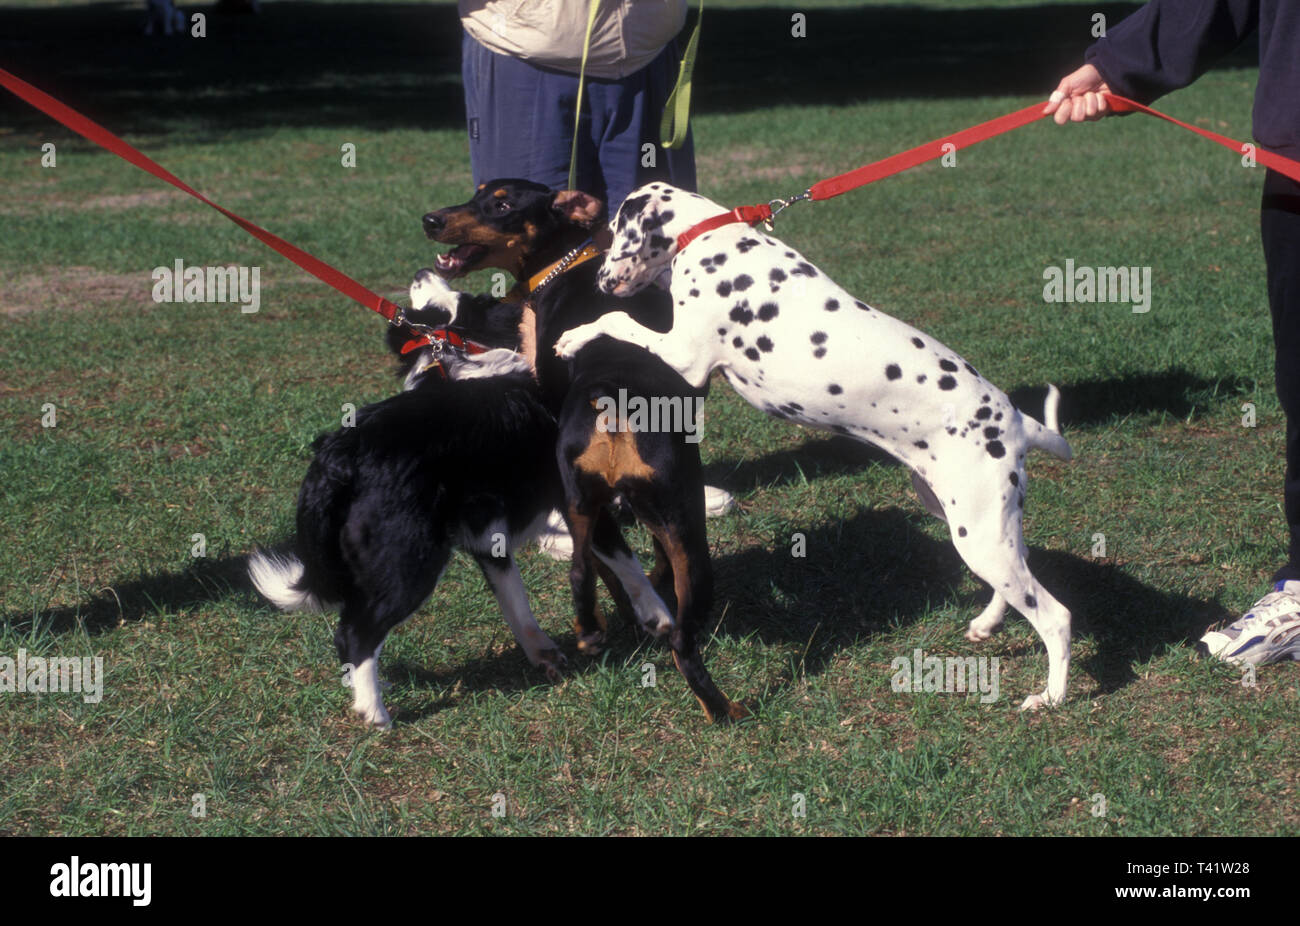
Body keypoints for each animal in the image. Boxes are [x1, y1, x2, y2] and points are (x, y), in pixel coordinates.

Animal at [423, 176, 743, 717]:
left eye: (502, 203)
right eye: (477, 192)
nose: (431, 220)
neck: (568, 264)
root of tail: (611, 397)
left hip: (595, 499)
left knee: (587, 573)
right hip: (672, 516)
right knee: (664, 622)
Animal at [559, 184, 1076, 712]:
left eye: (613, 231)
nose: (599, 278)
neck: (710, 236)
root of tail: (1017, 421)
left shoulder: (685, 358)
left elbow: (616, 319)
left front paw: (573, 335)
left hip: (980, 537)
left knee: (1056, 616)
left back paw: (1050, 697)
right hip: (970, 522)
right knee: (1021, 569)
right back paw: (988, 624)